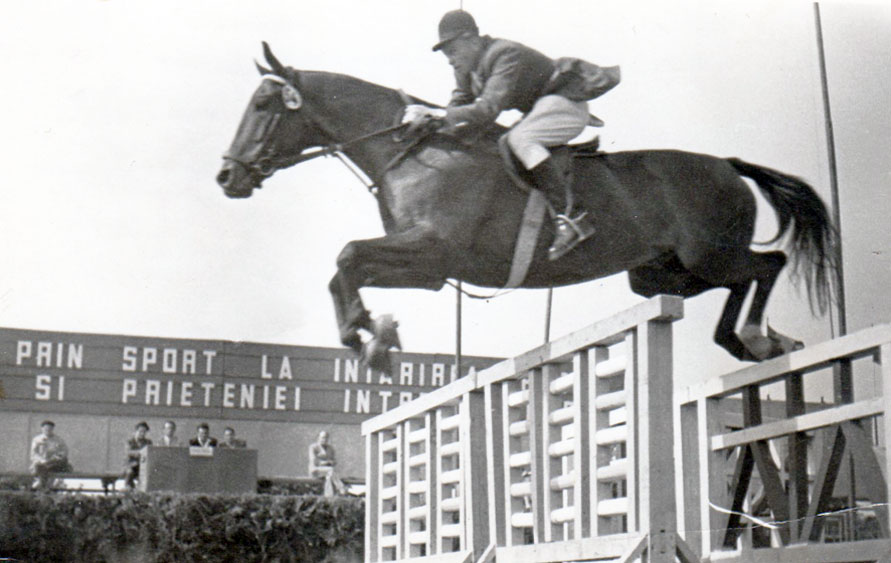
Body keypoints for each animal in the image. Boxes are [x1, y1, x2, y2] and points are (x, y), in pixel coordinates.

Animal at [216, 41, 836, 372]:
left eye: (264, 104)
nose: (227, 176)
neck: (408, 152)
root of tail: (728, 164)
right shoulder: (430, 269)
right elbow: (346, 267)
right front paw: (371, 333)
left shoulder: (432, 249)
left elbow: (347, 254)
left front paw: (365, 335)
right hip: (659, 274)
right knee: (736, 281)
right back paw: (749, 342)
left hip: (709, 253)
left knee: (767, 265)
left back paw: (760, 337)